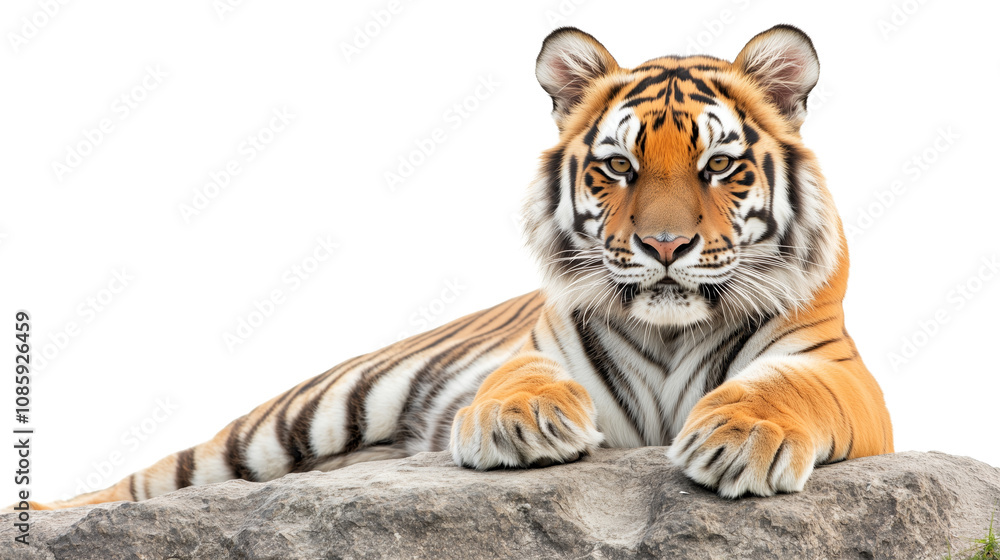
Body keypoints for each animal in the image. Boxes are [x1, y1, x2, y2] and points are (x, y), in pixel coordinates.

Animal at [34, 24, 892, 510]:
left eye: (720, 166)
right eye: (618, 166)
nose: (665, 247)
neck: (671, 330)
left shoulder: (840, 371)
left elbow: (788, 388)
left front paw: (742, 438)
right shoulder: (540, 346)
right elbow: (518, 376)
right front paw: (522, 420)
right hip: (293, 417)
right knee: (143, 483)